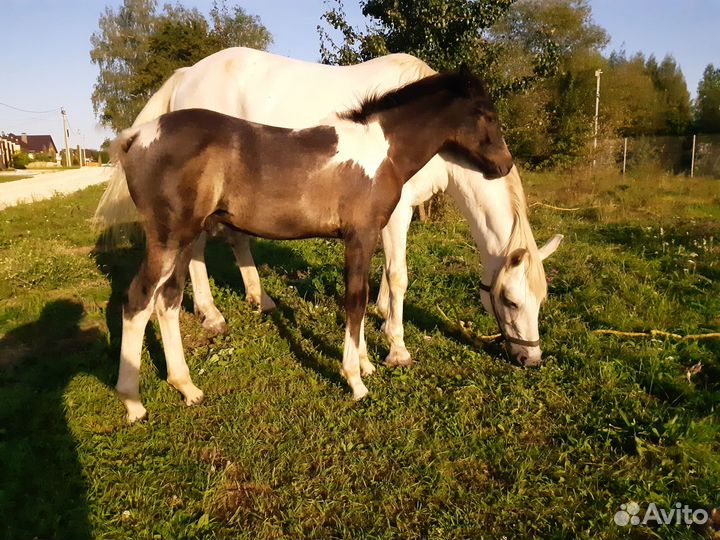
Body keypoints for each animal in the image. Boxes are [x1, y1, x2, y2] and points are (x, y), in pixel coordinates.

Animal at [95, 47, 563, 369]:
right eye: (510, 300)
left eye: (541, 299)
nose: (531, 360)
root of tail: (186, 74)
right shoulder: (398, 213)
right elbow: (399, 276)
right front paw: (396, 347)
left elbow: (381, 274)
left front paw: (379, 317)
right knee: (193, 254)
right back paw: (211, 315)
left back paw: (260, 299)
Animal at [112, 71, 513, 422]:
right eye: (488, 115)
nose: (505, 166)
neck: (381, 150)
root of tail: (136, 137)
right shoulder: (360, 236)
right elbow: (356, 301)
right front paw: (355, 380)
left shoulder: (365, 239)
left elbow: (362, 299)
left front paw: (365, 363)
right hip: (167, 240)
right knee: (138, 301)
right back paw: (132, 403)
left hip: (183, 239)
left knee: (168, 301)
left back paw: (186, 387)